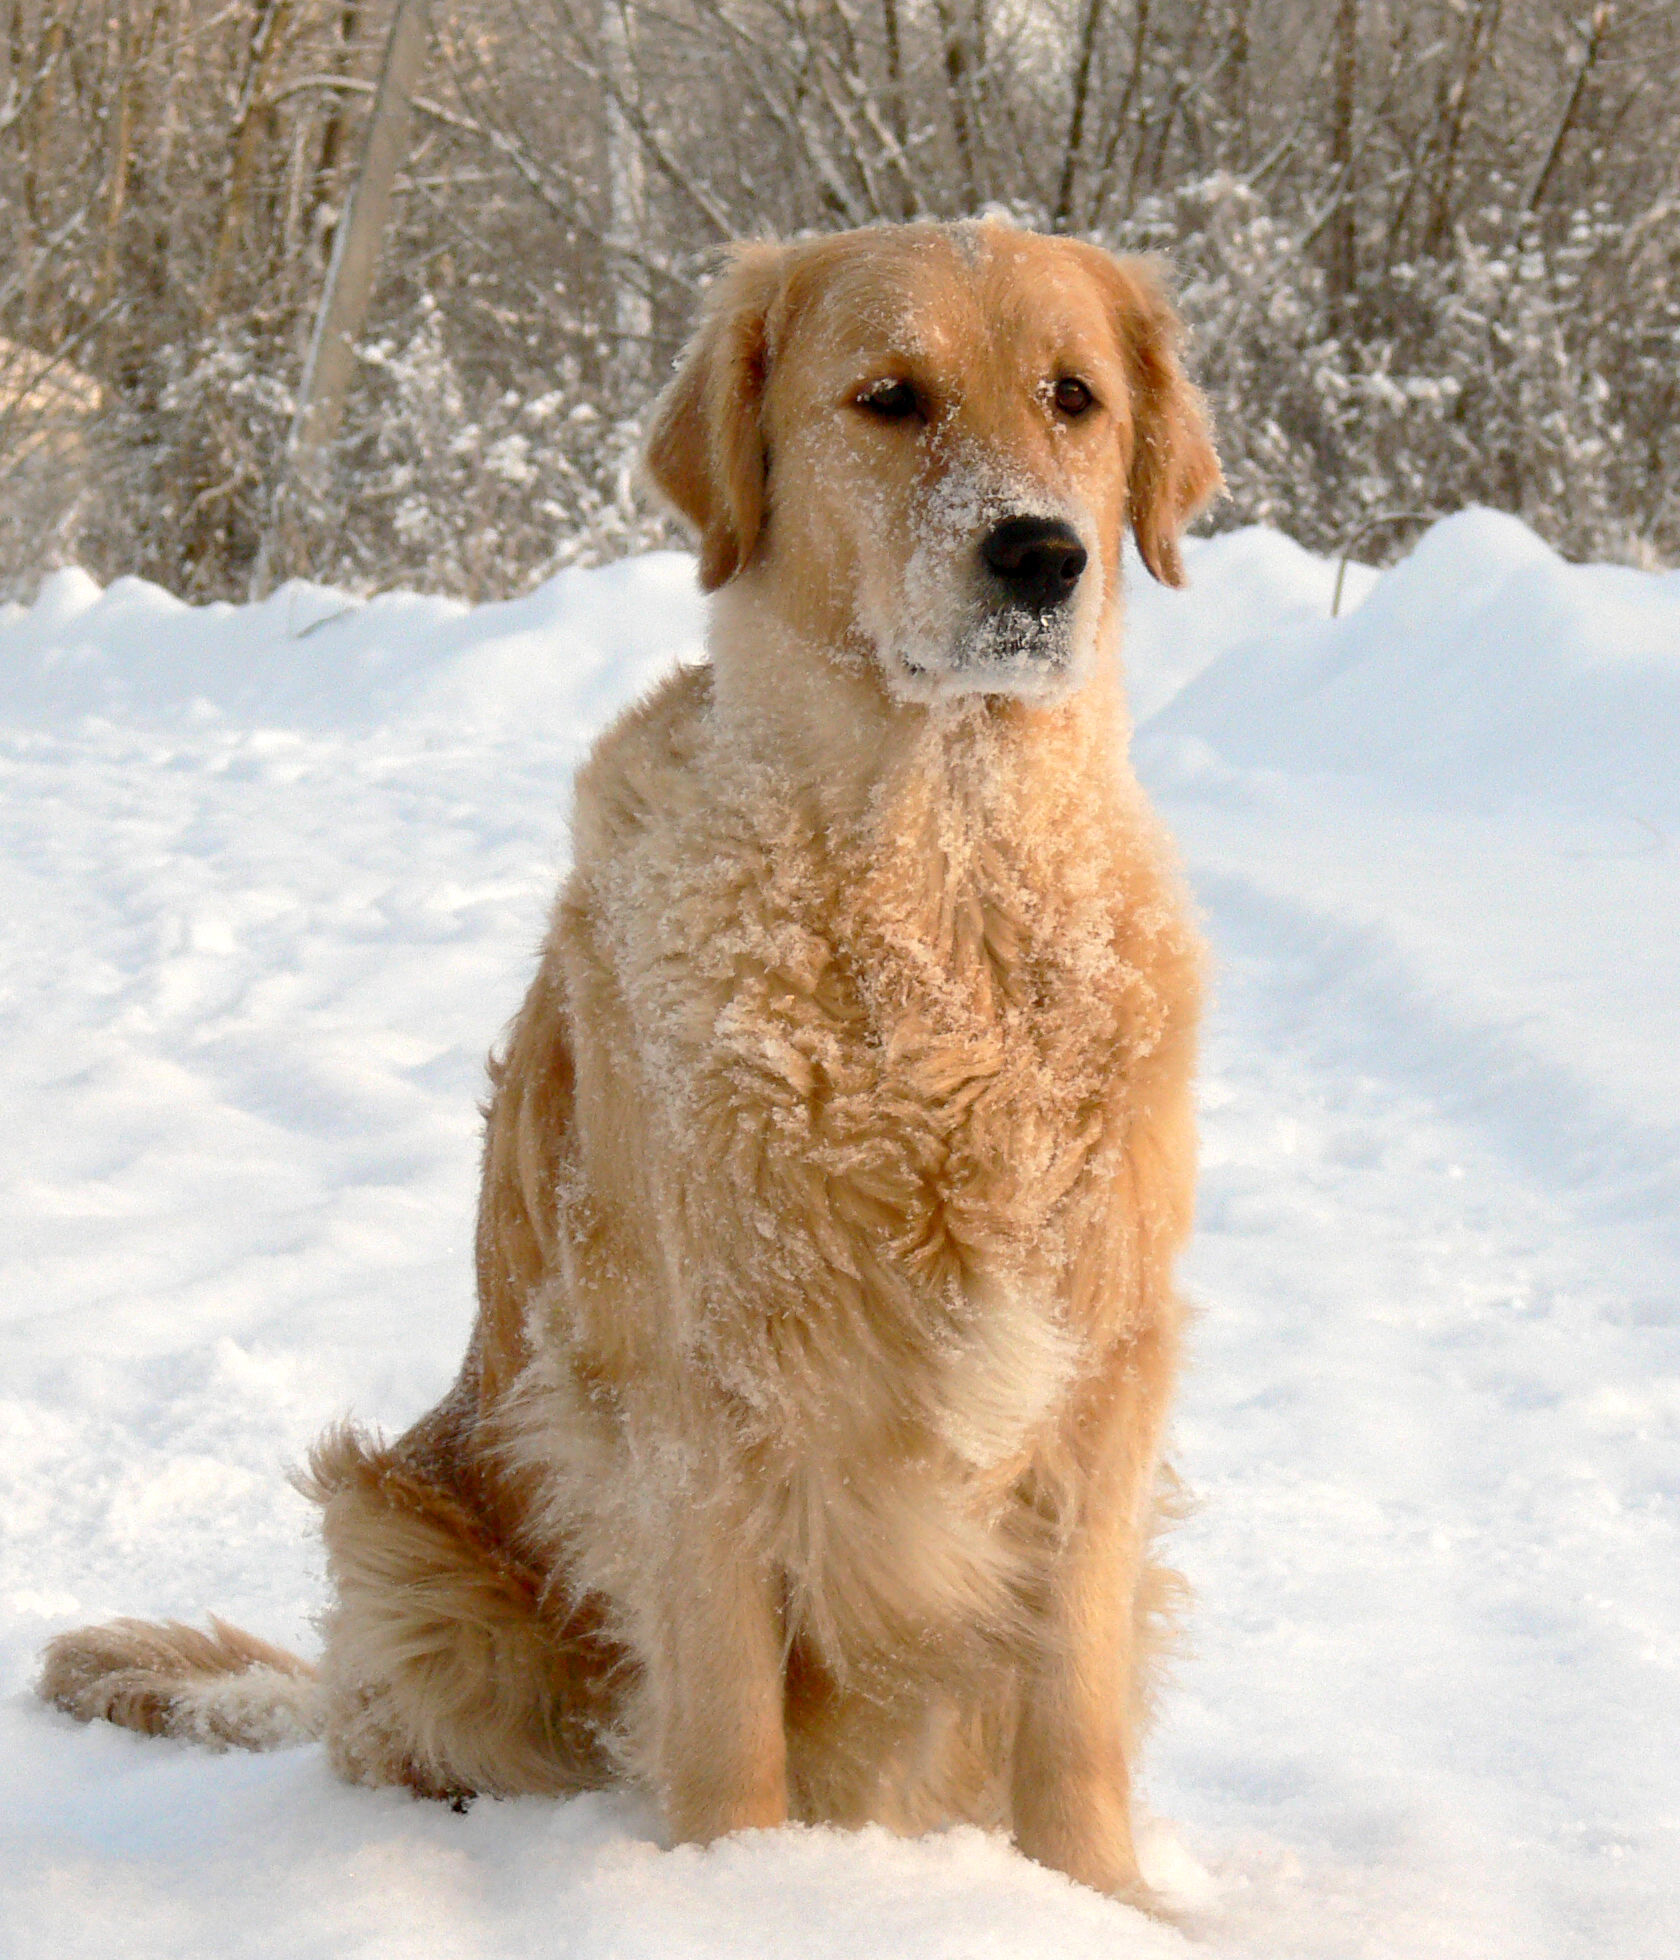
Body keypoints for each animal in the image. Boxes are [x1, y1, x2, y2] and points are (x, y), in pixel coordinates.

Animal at [39, 218, 1215, 1912]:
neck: (939, 888)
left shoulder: (1103, 1365)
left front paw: (1098, 1908)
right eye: (890, 398)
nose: (1040, 556)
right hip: (401, 1539)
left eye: (1075, 398)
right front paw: (741, 1903)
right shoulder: (695, 1384)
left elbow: (1075, 1713)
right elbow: (725, 1722)